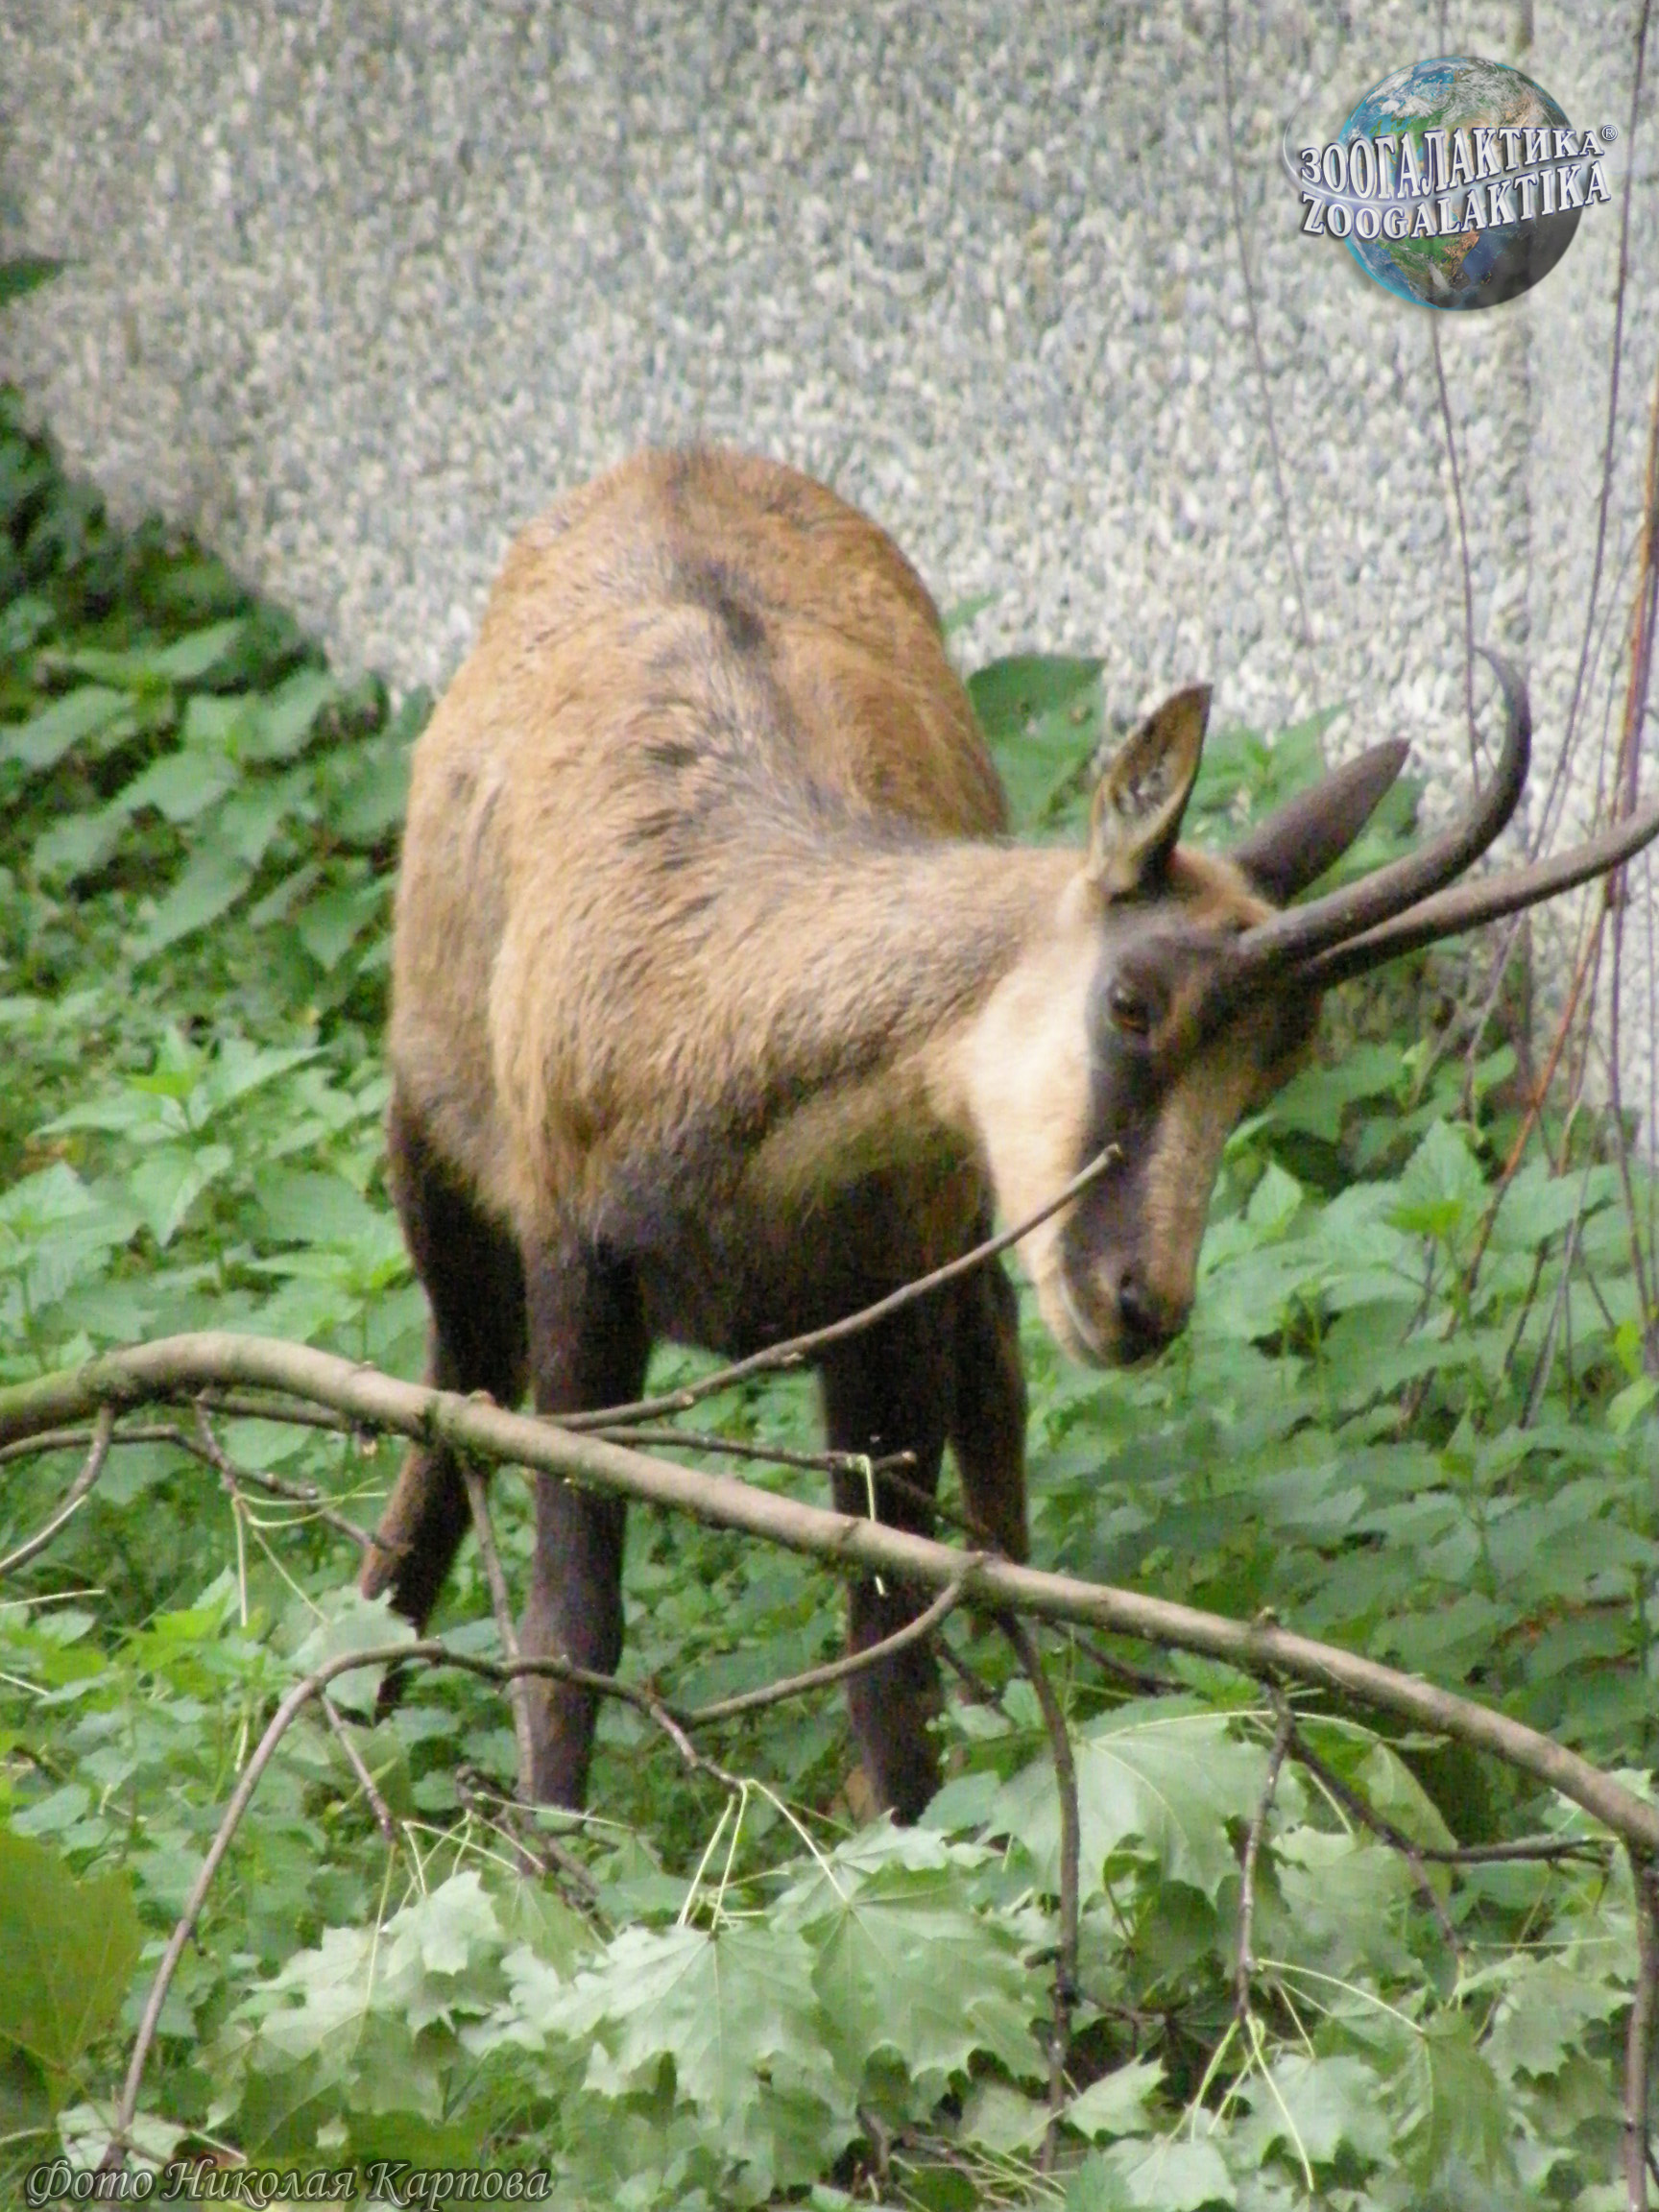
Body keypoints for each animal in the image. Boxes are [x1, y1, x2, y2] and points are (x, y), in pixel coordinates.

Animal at [360, 446, 1659, 1823]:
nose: (1141, 1303)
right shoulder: (581, 1279)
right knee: (457, 1386)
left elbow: (891, 1649)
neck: (711, 997)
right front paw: (545, 1860)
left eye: (1276, 1064)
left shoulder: (885, 1303)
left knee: (997, 1438)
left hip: (973, 1260)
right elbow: (571, 1628)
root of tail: (678, 460)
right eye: (1132, 1002)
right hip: (440, 1169)